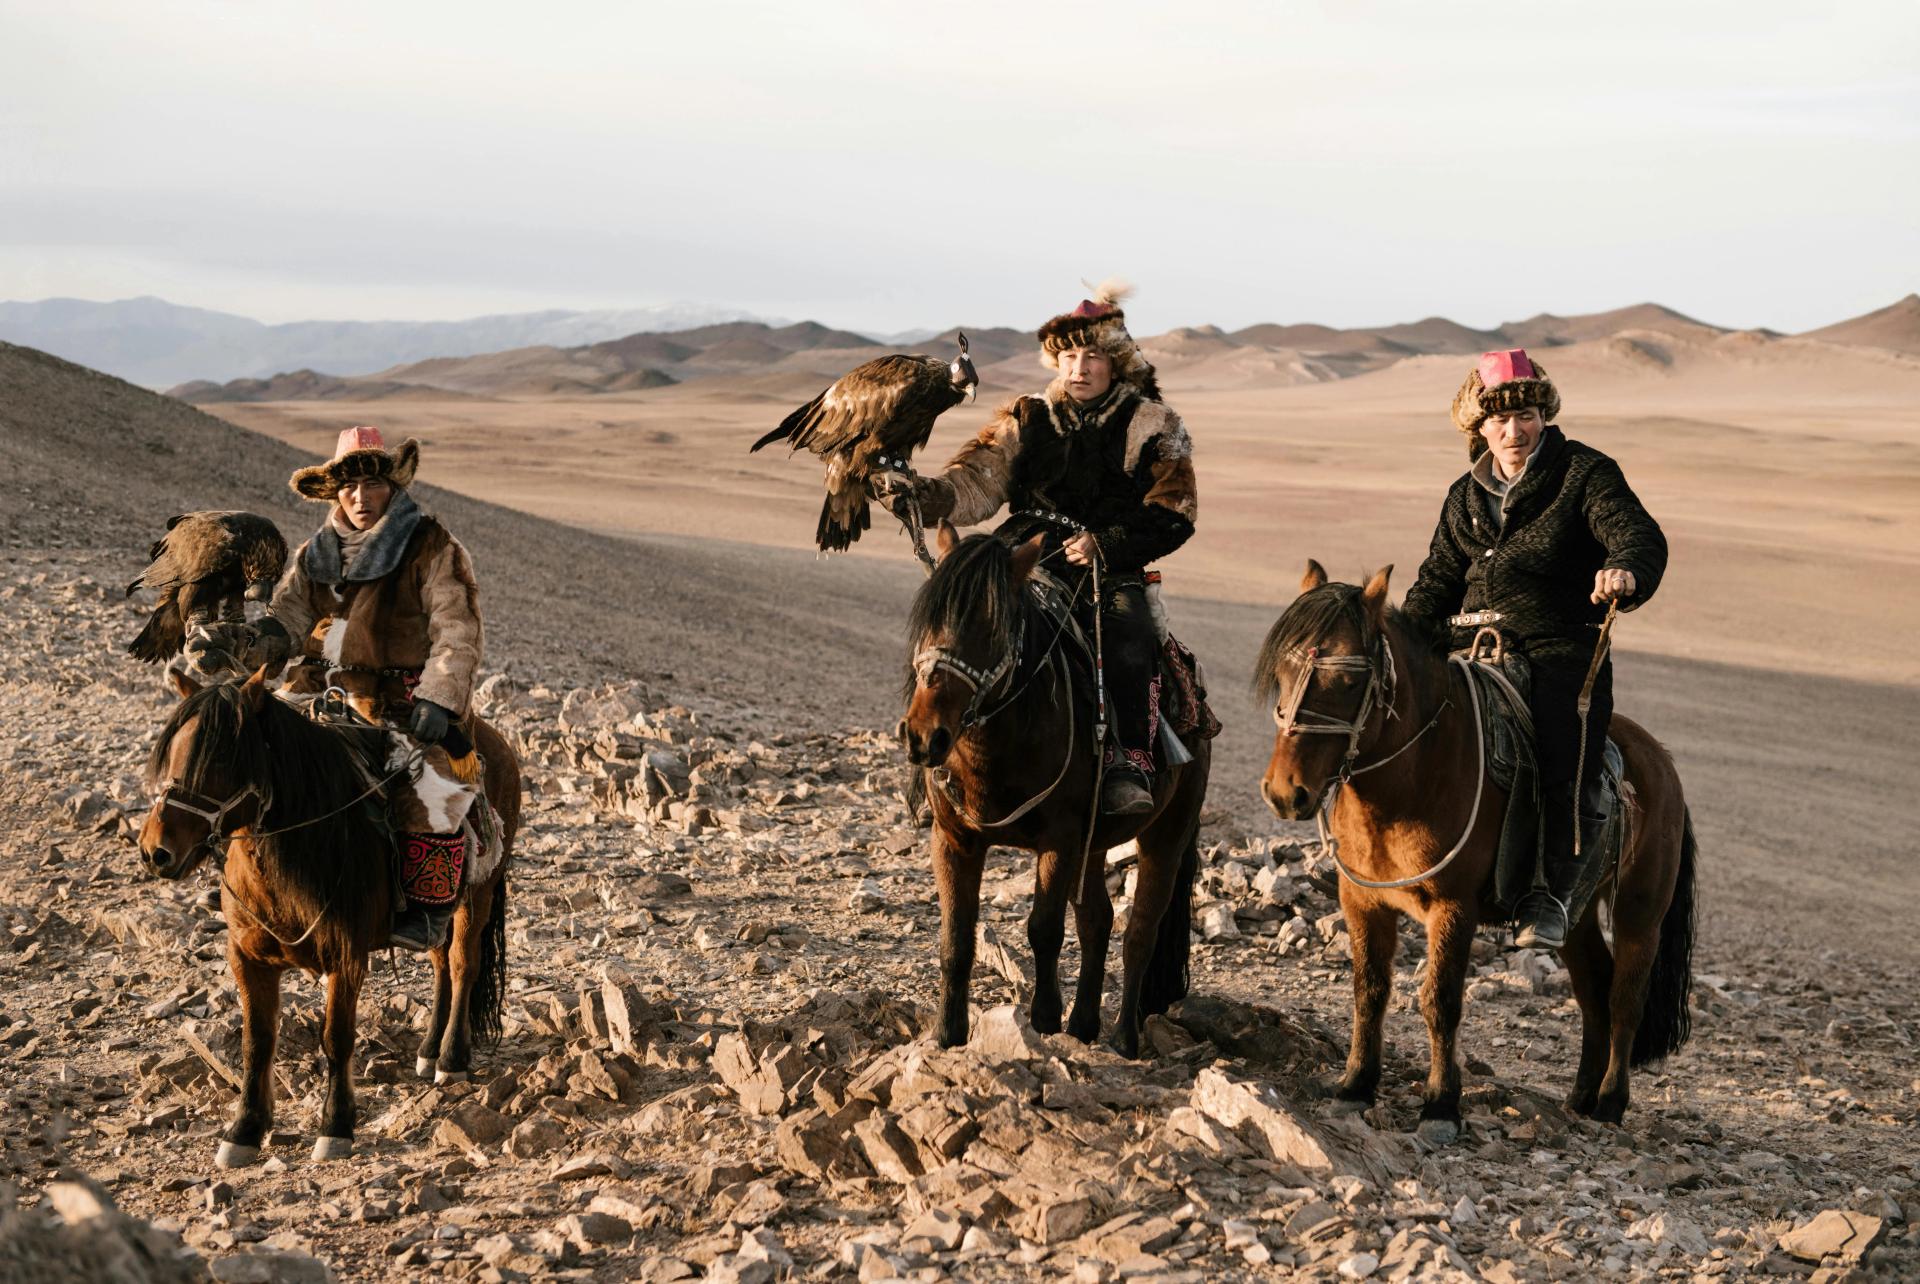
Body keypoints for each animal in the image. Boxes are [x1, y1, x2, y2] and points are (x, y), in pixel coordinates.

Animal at [136, 667, 522, 1166]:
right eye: (173, 753)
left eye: (222, 757)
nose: (156, 851)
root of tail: (497, 742)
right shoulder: (247, 957)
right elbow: (257, 1040)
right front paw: (244, 1130)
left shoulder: (346, 957)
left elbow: (337, 1037)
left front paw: (336, 1126)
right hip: (443, 911)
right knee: (441, 965)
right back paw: (429, 1050)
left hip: (478, 895)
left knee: (462, 966)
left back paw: (452, 1058)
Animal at [902, 514, 1205, 1059]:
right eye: (930, 619)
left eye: (990, 629)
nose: (923, 737)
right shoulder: (954, 839)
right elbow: (956, 938)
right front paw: (948, 1034)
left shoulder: (1059, 840)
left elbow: (1043, 929)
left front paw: (1043, 1020)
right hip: (1096, 844)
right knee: (1098, 921)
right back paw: (1083, 1024)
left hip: (1167, 833)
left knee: (1140, 932)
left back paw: (1124, 1038)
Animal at [1259, 560, 1697, 1128]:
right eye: (1281, 676)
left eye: (1348, 680)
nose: (1284, 793)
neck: (1412, 777)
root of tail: (1662, 763)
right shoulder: (1362, 901)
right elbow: (1369, 990)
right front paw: (1356, 1084)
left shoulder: (1453, 907)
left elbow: (1440, 1001)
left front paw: (1441, 1102)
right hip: (1575, 917)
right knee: (1594, 990)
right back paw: (1579, 1097)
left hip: (1640, 913)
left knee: (1625, 999)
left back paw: (1609, 1103)